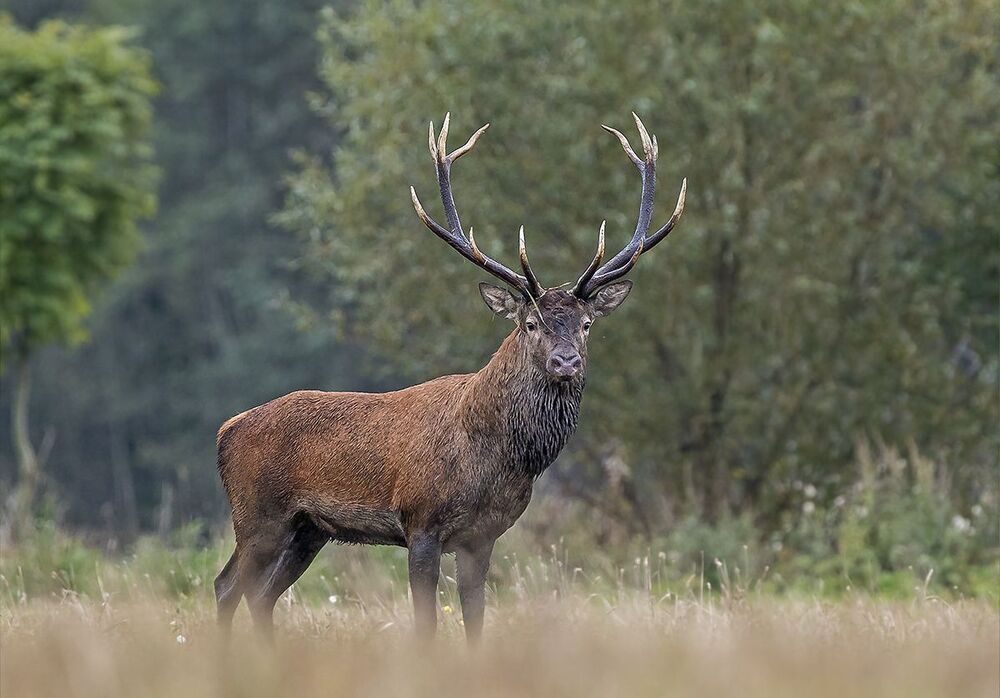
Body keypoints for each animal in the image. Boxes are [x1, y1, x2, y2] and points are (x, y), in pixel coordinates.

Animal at [214, 112, 686, 643]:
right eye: (530, 323)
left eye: (587, 324)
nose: (567, 362)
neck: (497, 457)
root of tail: (226, 430)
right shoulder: (420, 523)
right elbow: (426, 624)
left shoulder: (482, 537)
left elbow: (474, 620)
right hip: (258, 516)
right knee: (226, 585)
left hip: (307, 530)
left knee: (260, 596)